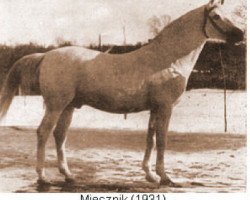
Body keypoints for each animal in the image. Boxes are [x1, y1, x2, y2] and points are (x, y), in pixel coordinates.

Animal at [0, 0, 242, 186]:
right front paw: (165, 178)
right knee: (43, 132)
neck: (167, 59)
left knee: (60, 135)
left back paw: (69, 176)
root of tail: (46, 56)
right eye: (216, 16)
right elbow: (162, 141)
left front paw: (150, 175)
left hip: (68, 107)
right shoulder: (165, 108)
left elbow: (150, 139)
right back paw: (42, 177)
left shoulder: (154, 109)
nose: (240, 34)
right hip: (55, 105)